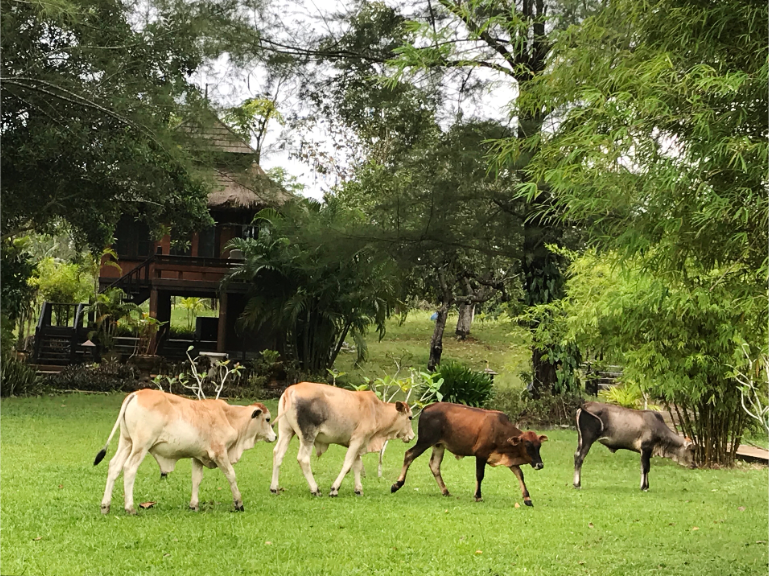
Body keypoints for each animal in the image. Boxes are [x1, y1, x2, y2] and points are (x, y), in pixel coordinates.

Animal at [94, 389, 276, 514]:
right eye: (267, 419)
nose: (274, 436)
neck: (230, 417)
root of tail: (136, 394)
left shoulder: (198, 456)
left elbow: (196, 480)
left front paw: (193, 505)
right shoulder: (219, 453)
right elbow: (231, 475)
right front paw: (238, 503)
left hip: (127, 442)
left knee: (114, 466)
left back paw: (105, 505)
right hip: (141, 445)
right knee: (129, 468)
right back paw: (130, 508)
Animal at [270, 382, 415, 497]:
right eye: (410, 417)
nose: (412, 436)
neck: (377, 411)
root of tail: (290, 389)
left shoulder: (359, 444)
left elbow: (357, 465)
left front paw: (358, 489)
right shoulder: (357, 439)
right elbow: (348, 464)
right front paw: (334, 489)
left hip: (286, 431)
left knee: (278, 453)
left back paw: (274, 488)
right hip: (308, 435)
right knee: (303, 459)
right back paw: (315, 489)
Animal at [390, 402, 548, 506]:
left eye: (539, 446)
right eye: (527, 445)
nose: (540, 464)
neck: (501, 431)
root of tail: (426, 408)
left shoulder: (509, 459)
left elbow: (520, 474)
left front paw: (527, 498)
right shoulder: (481, 454)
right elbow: (480, 475)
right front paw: (478, 496)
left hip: (439, 445)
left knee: (434, 465)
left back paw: (445, 491)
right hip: (425, 441)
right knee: (409, 454)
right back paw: (397, 484)